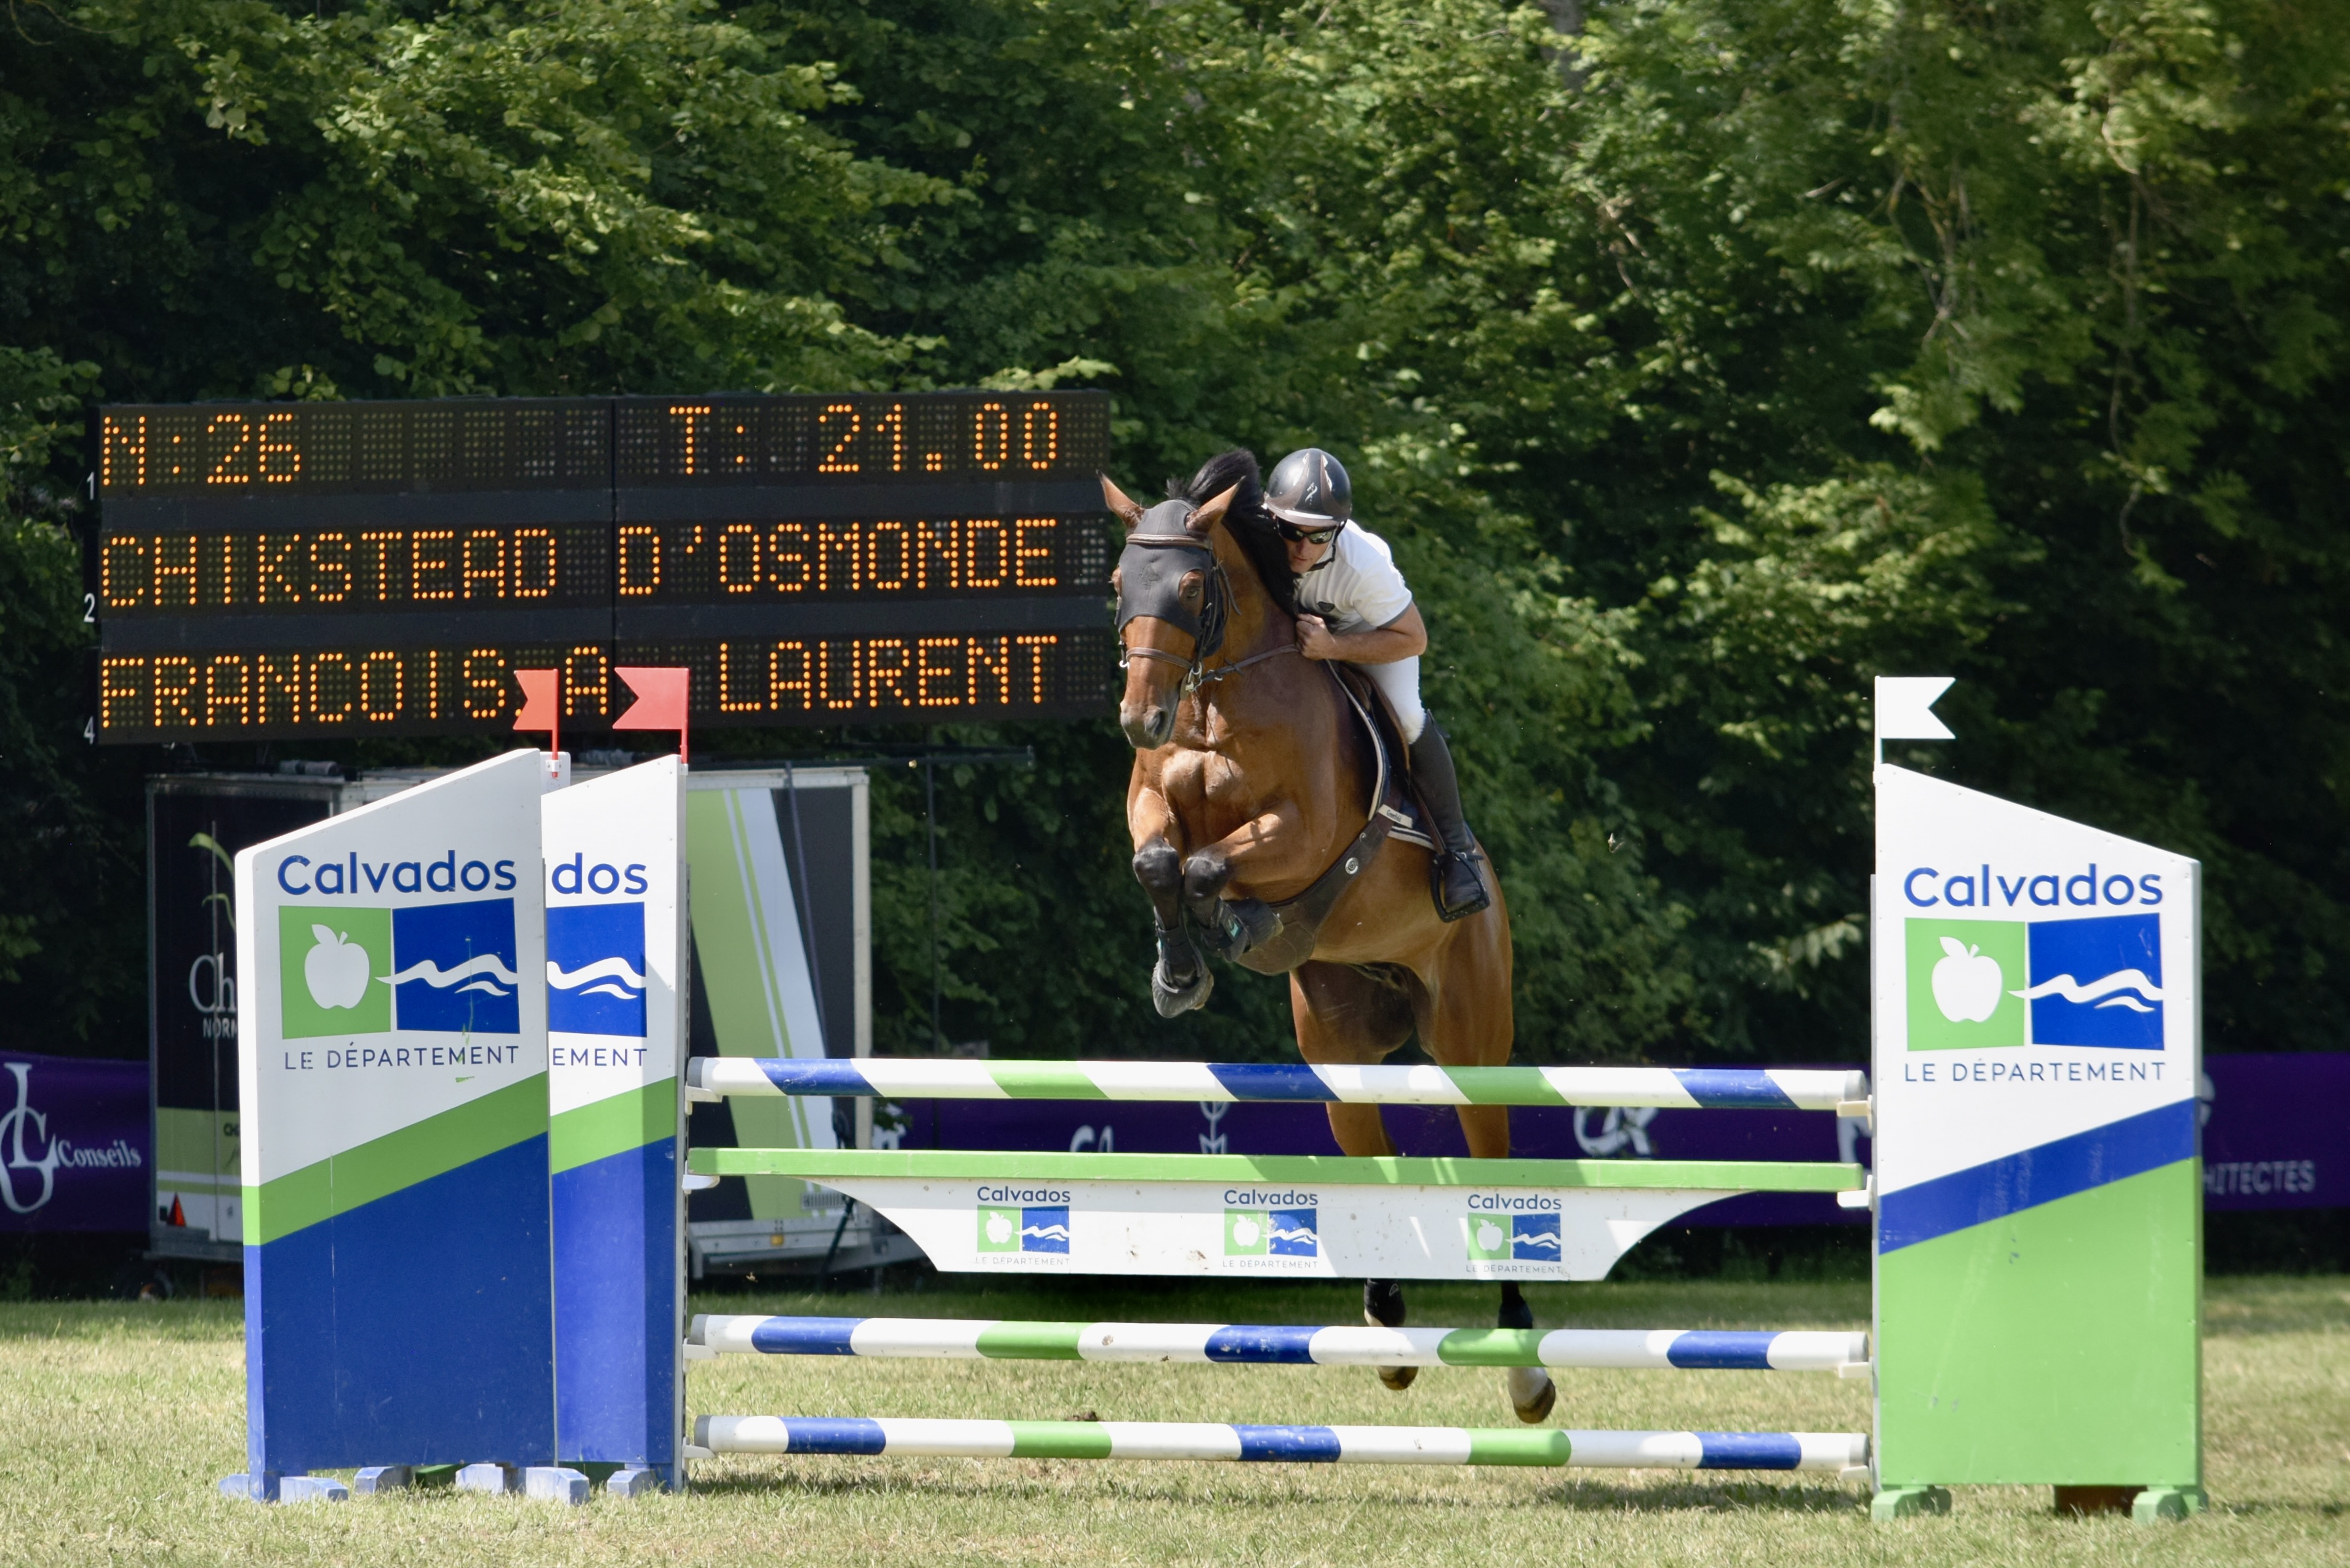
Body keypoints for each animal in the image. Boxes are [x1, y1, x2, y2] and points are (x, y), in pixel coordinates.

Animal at [1105, 450, 1554, 1426]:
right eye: (1120, 583)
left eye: (1190, 586)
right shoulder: (1151, 804)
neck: (1217, 702)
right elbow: (1159, 864)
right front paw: (1179, 974)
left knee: (1494, 1170)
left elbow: (1209, 868)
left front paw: (1237, 924)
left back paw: (1524, 1369)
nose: (1139, 720)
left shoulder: (1300, 833)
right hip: (1339, 1052)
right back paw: (1385, 1331)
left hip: (1471, 1039)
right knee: (1370, 1159)